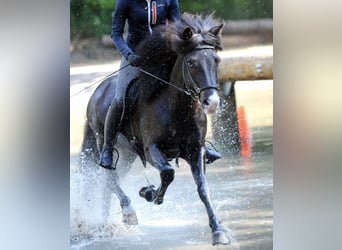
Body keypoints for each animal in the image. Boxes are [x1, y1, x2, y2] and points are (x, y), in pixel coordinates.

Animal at [81, 12, 230, 245]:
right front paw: (149, 193)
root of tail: (97, 92)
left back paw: (105, 225)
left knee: (108, 182)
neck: (177, 108)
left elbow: (203, 188)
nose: (212, 102)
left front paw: (218, 230)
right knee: (108, 174)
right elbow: (168, 173)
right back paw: (128, 212)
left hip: (126, 155)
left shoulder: (195, 150)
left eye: (216, 60)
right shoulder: (151, 149)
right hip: (104, 141)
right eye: (191, 62)